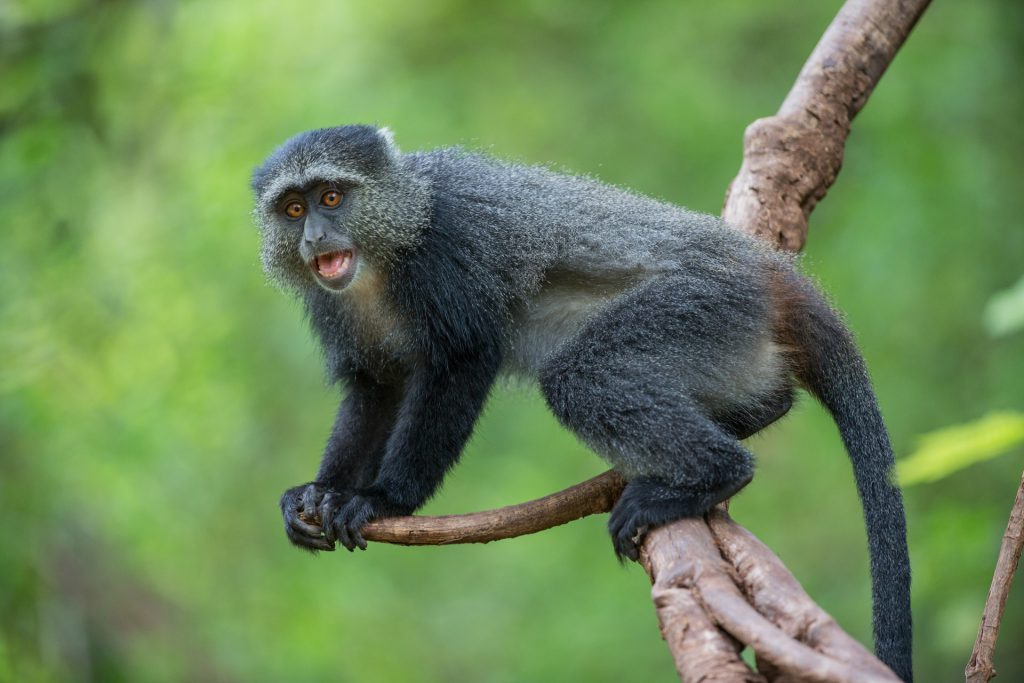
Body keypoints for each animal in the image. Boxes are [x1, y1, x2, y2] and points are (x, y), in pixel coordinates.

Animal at [251, 124, 912, 681]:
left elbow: (462, 362)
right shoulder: (340, 314)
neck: (389, 244)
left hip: (695, 304)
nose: (316, 237)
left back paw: (711, 473)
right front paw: (320, 494)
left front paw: (383, 498)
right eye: (293, 209)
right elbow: (376, 388)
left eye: (332, 197)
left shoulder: (445, 258)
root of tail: (764, 268)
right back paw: (755, 415)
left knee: (581, 378)